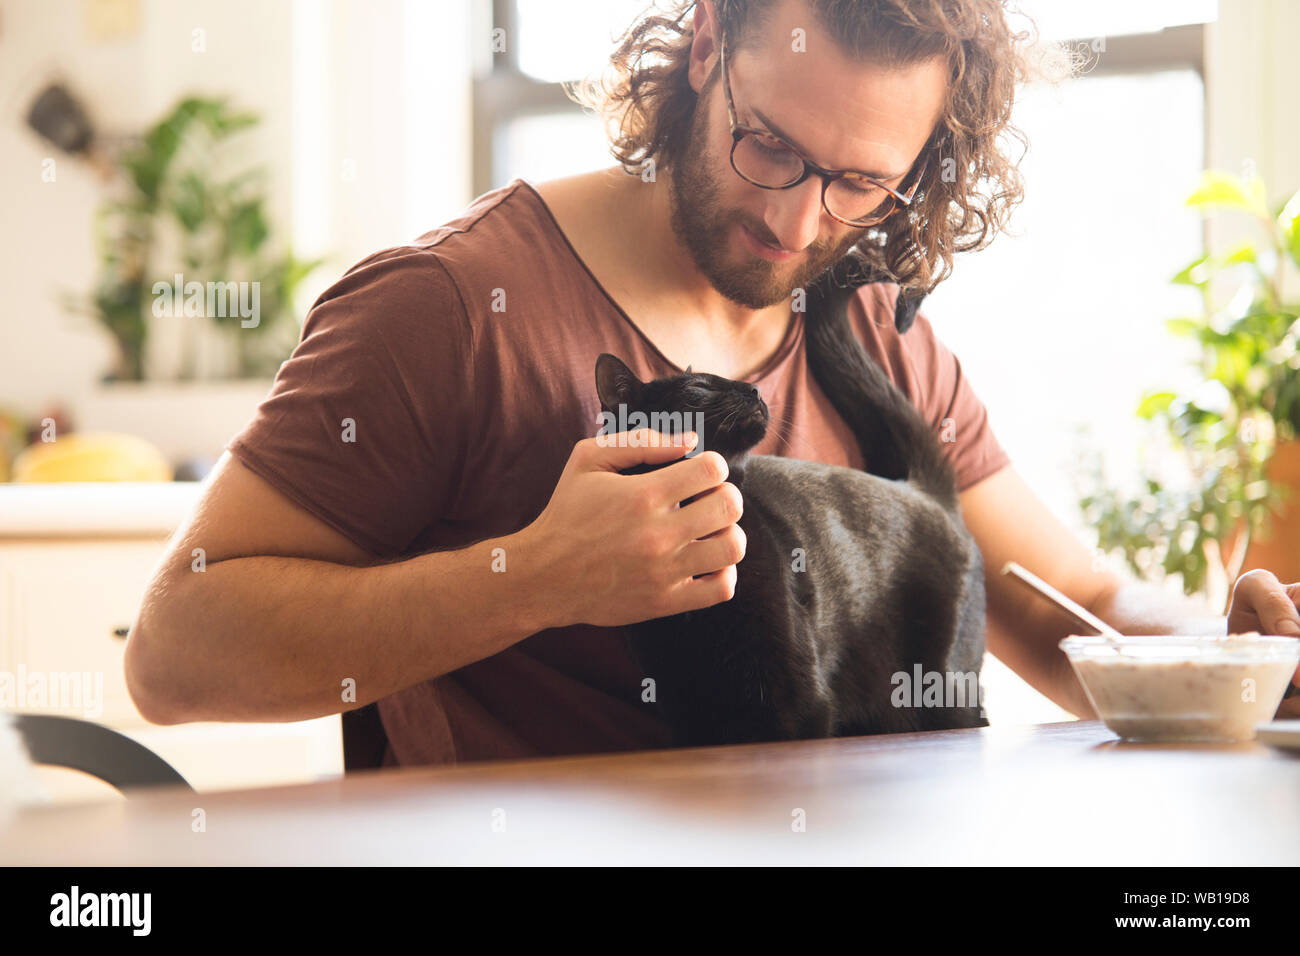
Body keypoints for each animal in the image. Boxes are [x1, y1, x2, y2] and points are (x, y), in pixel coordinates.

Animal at [595, 260, 982, 749]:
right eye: (699, 387)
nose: (754, 389)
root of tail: (925, 490)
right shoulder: (687, 707)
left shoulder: (798, 700)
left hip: (941, 691)